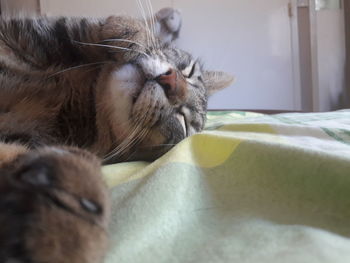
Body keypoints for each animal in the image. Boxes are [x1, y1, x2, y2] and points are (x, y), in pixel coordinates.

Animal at [0, 7, 234, 262]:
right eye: (189, 71)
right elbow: (105, 23)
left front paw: (70, 228)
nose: (171, 81)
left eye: (184, 122)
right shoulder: (40, 30)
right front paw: (134, 35)